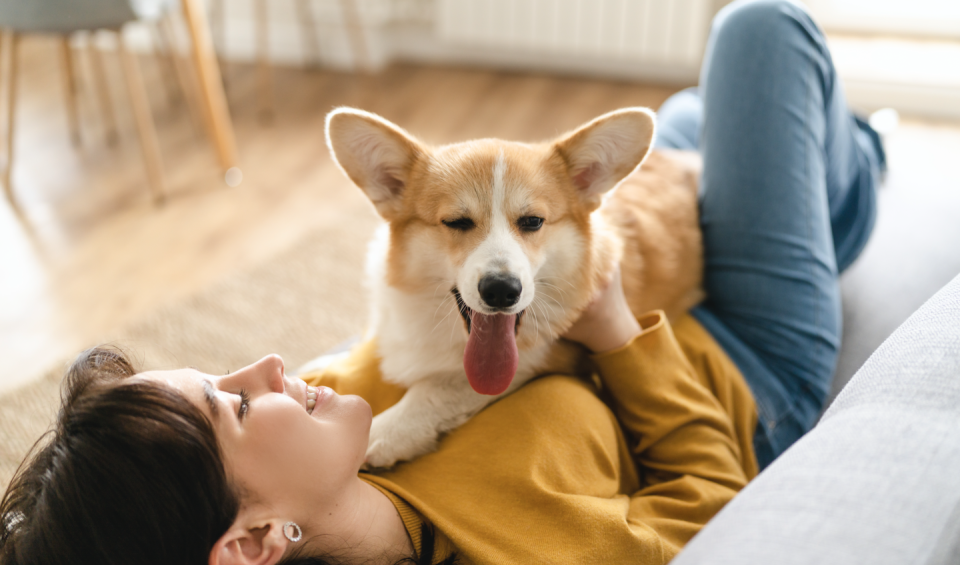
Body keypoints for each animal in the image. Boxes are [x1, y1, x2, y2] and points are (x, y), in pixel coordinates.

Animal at [326, 106, 700, 468]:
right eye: (456, 222)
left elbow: (439, 388)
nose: (502, 290)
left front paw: (381, 432)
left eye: (532, 221)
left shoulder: (544, 355)